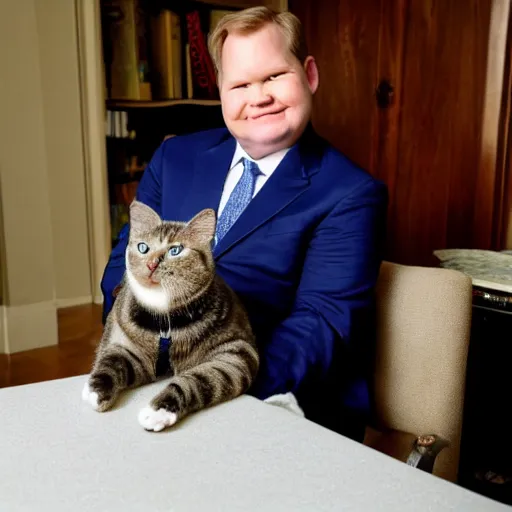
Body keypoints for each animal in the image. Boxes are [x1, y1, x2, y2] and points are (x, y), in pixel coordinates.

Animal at [84, 200, 262, 432]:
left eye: (175, 250)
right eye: (143, 247)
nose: (151, 264)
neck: (163, 324)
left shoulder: (235, 355)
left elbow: (199, 380)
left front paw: (160, 410)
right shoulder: (127, 345)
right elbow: (112, 361)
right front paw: (96, 390)